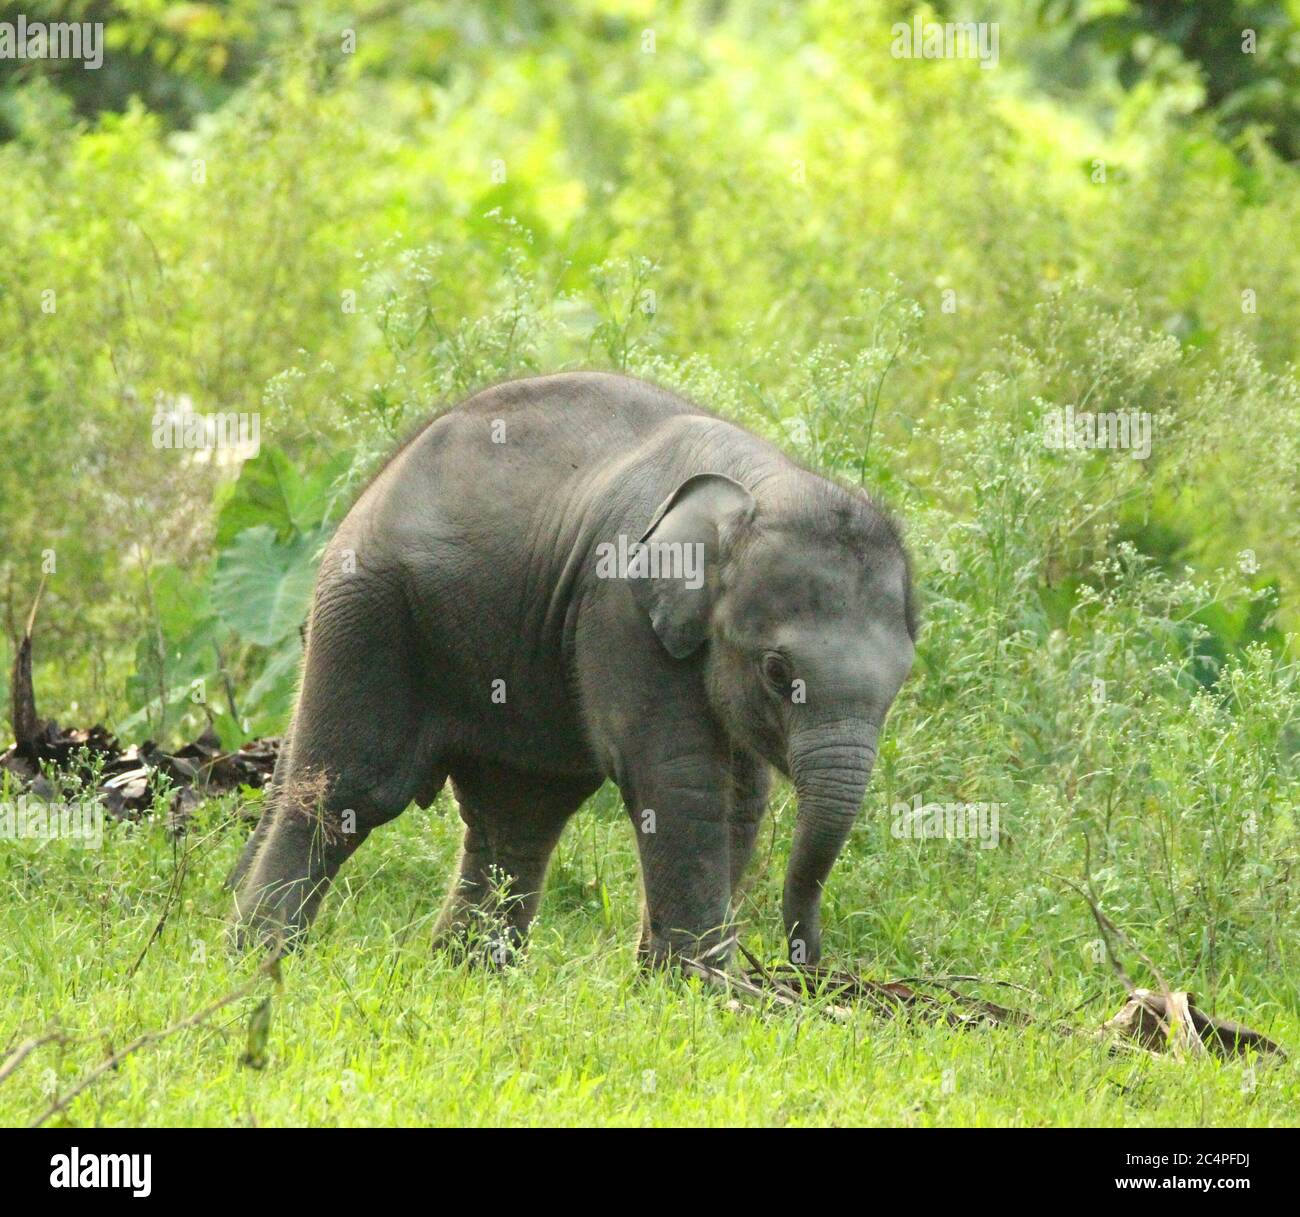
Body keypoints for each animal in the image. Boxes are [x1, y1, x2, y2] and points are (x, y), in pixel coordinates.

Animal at [230, 371, 917, 968]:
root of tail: (376, 478)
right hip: (370, 611)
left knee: (519, 812)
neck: (760, 484)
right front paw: (704, 993)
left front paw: (674, 988)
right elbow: (680, 778)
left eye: (899, 683)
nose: (807, 968)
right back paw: (260, 959)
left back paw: (467, 972)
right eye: (777, 671)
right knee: (348, 791)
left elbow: (740, 797)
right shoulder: (620, 608)